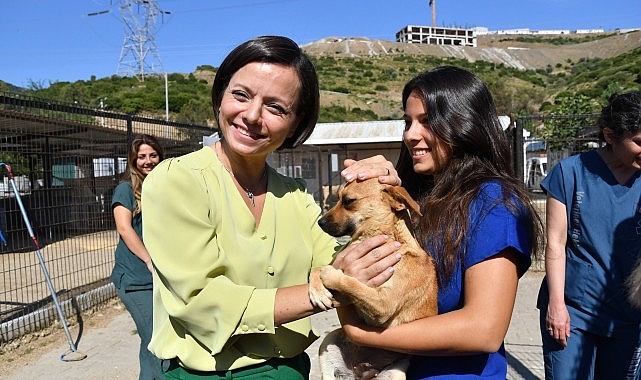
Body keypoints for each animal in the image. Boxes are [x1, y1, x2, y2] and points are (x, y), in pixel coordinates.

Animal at [308, 179, 438, 380]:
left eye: (348, 201)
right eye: (338, 197)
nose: (320, 222)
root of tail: (363, 371)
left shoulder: (383, 305)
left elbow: (350, 282)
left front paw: (331, 275)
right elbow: (317, 268)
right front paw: (317, 291)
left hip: (395, 372)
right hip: (329, 343)